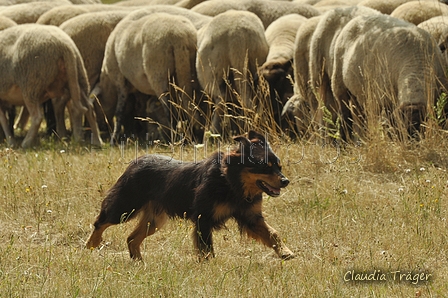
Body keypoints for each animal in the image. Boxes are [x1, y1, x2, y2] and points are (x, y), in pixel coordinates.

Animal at [86, 132, 294, 260]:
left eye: (279, 167)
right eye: (265, 167)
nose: (286, 181)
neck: (231, 182)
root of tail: (135, 162)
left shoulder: (251, 217)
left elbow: (273, 233)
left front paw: (286, 252)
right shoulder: (204, 218)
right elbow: (207, 248)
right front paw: (210, 268)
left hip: (155, 220)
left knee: (131, 238)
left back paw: (139, 262)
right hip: (125, 208)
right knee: (101, 222)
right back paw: (91, 245)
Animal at [101, 12, 201, 145]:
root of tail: (179, 36)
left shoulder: (120, 80)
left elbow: (119, 111)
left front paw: (114, 139)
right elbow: (141, 107)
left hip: (157, 71)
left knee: (169, 107)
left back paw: (172, 138)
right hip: (185, 68)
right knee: (186, 102)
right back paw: (190, 135)